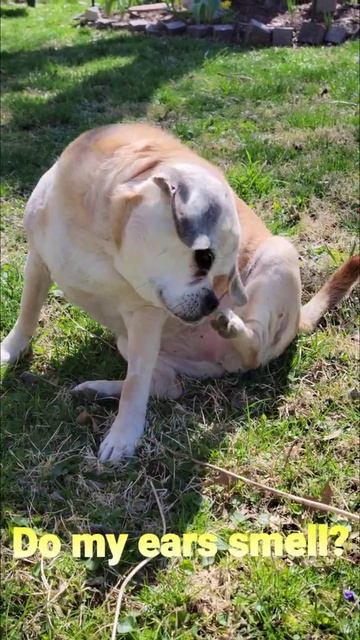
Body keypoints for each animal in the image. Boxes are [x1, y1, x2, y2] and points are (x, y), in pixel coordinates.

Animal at [1, 122, 358, 462]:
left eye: (228, 272)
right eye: (204, 258)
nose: (214, 301)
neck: (99, 236)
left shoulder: (144, 317)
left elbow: (136, 385)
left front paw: (123, 436)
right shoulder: (38, 263)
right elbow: (27, 315)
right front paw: (9, 351)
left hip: (279, 255)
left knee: (253, 348)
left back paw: (231, 326)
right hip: (129, 342)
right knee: (168, 387)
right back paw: (98, 389)